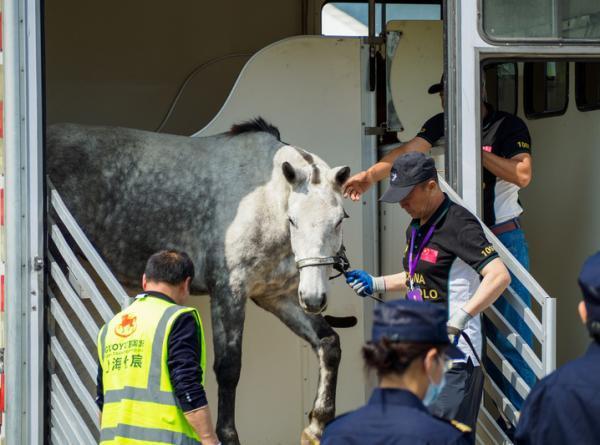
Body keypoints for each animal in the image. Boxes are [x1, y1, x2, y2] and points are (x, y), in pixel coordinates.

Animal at [49, 119, 354, 444]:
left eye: (339, 219)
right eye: (293, 219)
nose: (313, 298)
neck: (265, 200)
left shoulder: (275, 297)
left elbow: (328, 343)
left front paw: (316, 426)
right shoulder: (229, 293)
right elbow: (229, 368)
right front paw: (228, 436)